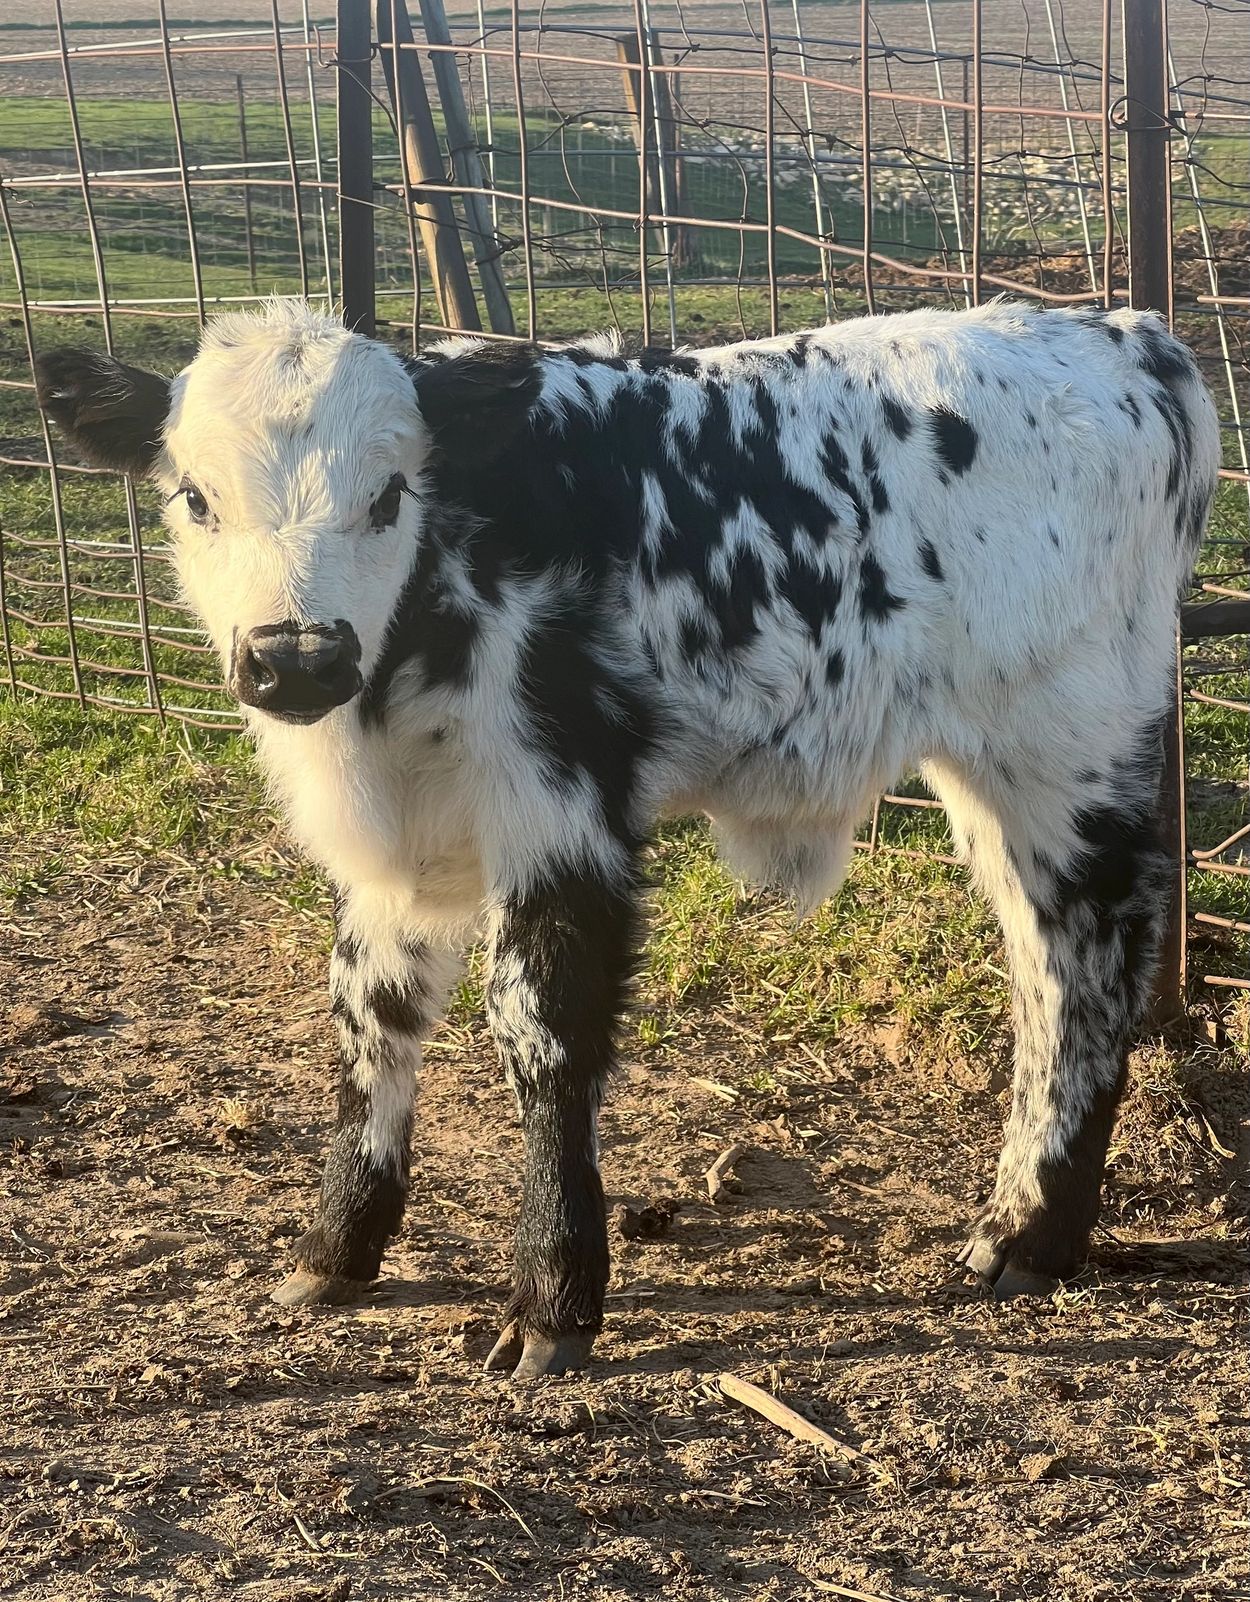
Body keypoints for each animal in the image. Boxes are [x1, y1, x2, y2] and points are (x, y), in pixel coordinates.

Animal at [36, 297, 1219, 1377]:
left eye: (389, 493)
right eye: (195, 496)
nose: (296, 658)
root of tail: (1124, 337)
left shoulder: (562, 810)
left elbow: (545, 1031)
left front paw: (553, 1301)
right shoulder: (391, 857)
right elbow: (370, 1013)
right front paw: (335, 1248)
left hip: (1065, 752)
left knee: (1088, 961)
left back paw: (1032, 1236)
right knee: (1039, 969)